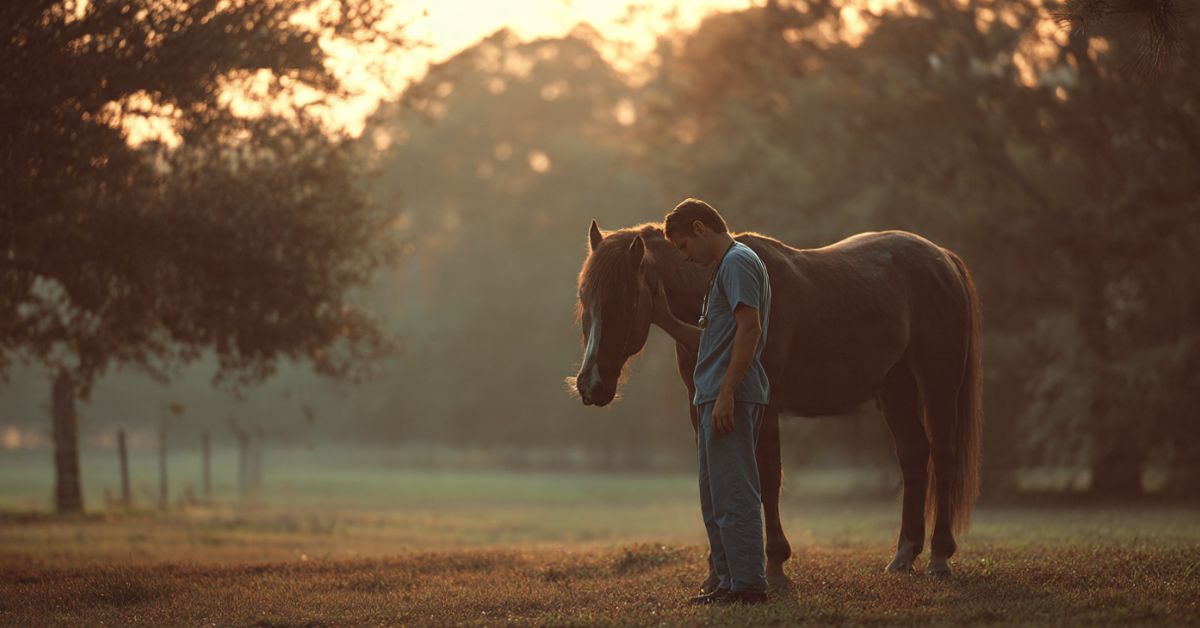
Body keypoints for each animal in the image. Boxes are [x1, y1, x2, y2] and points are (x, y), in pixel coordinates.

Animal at [569, 220, 982, 586]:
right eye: (584, 298)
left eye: (624, 300)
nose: (590, 385)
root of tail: (942, 258)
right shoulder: (699, 406)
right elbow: (711, 477)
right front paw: (714, 572)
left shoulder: (762, 407)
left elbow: (766, 477)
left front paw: (774, 565)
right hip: (895, 388)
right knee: (914, 457)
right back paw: (903, 555)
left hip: (937, 382)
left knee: (943, 457)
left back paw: (940, 557)